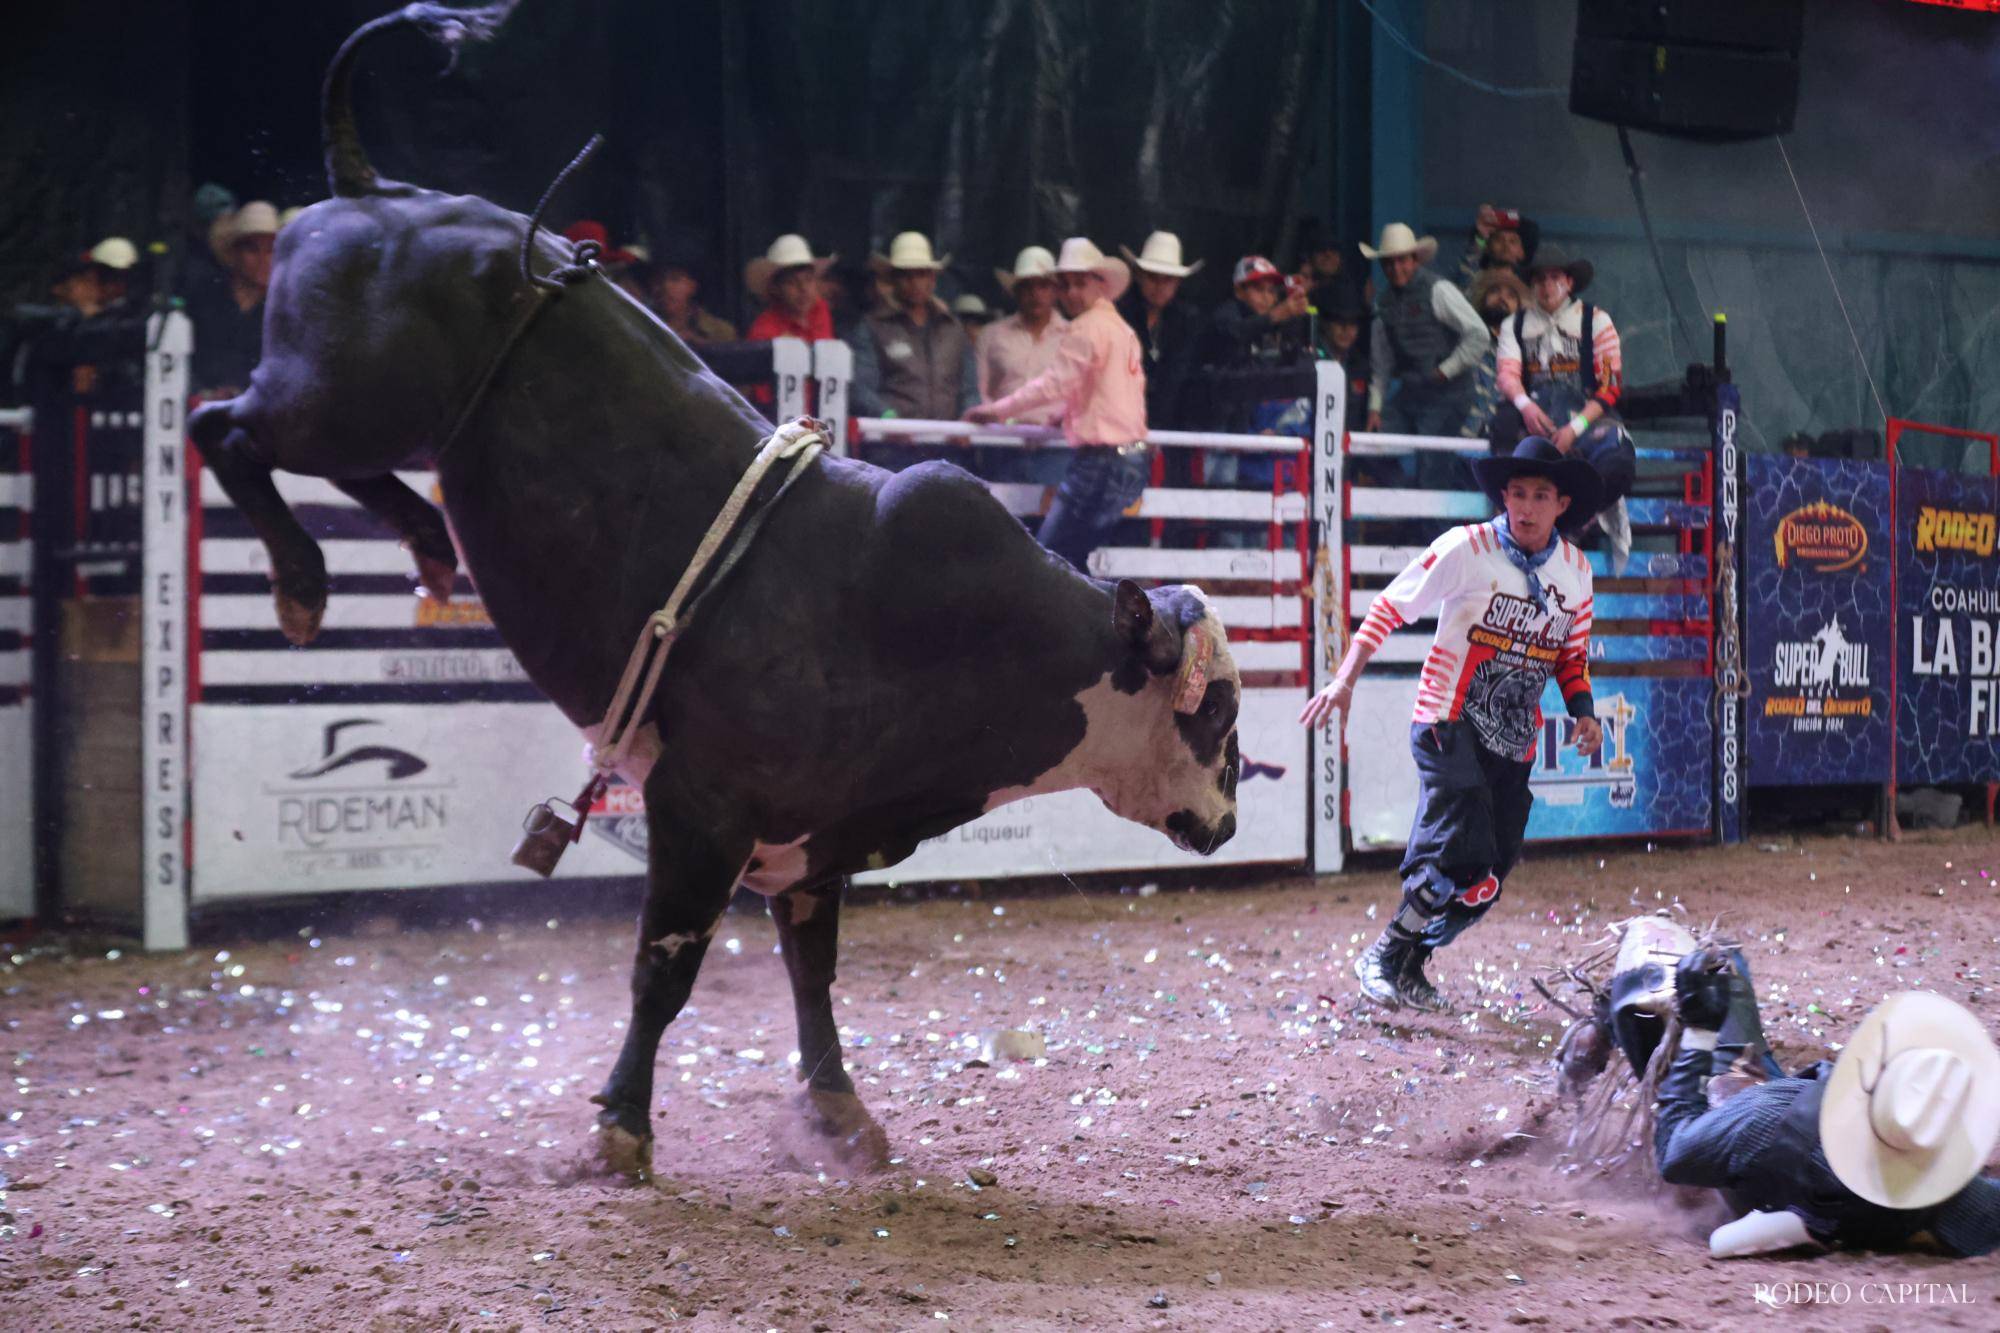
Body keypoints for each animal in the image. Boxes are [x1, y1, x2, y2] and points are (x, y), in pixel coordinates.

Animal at [195, 7, 1240, 1176]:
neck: (957, 631)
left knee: (329, 463)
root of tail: (371, 188)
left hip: (386, 419)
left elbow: (811, 971)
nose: (1230, 816)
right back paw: (299, 582)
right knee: (221, 428)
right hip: (332, 398)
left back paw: (419, 543)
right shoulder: (701, 806)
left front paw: (839, 1111)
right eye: (1213, 711)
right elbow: (668, 965)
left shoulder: (813, 841)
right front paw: (622, 1122)